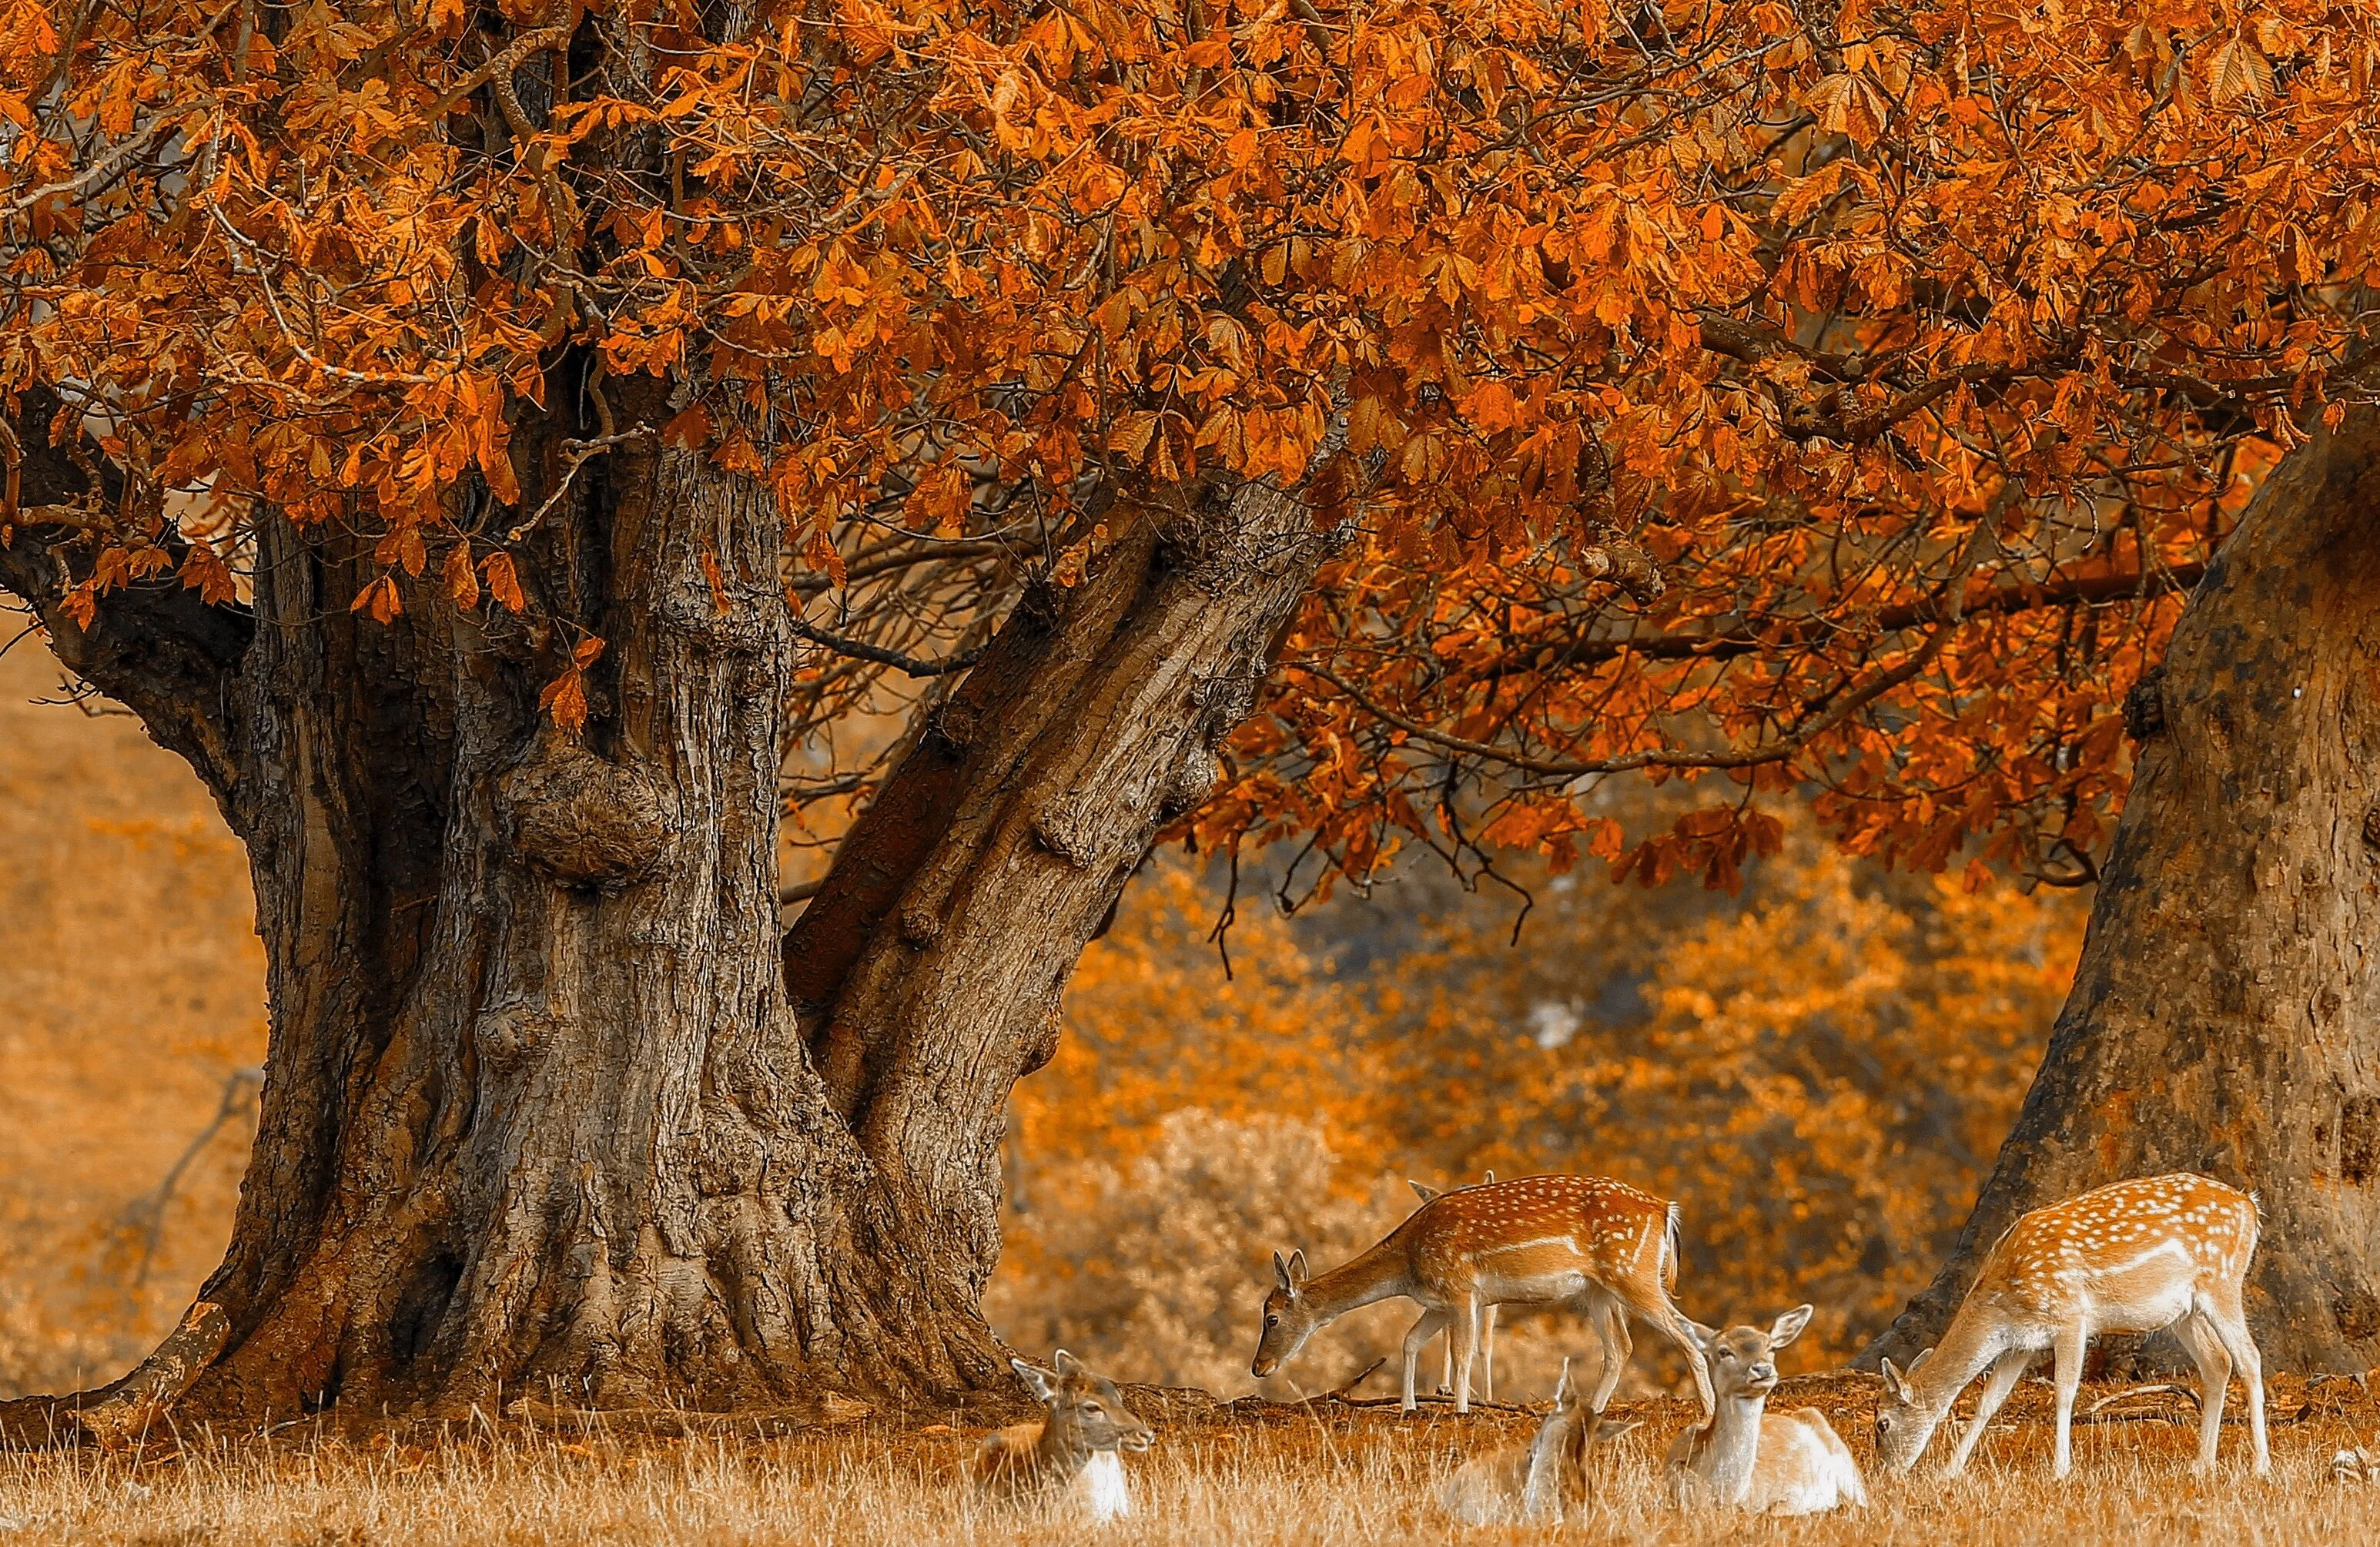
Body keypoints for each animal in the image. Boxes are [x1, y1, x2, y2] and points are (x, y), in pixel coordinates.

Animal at [1253, 1172, 1713, 1418]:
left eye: (1272, 1317)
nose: (1258, 1367)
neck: (1409, 1263)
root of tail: (1665, 1211)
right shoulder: (1439, 1302)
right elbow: (1410, 1341)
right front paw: (1409, 1407)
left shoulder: (1461, 1289)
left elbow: (1462, 1354)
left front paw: (1461, 1410)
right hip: (1598, 1290)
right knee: (1621, 1346)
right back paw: (1594, 1411)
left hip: (1632, 1274)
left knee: (1687, 1335)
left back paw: (1709, 1411)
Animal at [1663, 1305, 1865, 1515]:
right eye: (1724, 1351)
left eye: (1770, 1347)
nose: (1763, 1369)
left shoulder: (1794, 1493)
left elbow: (1776, 1510)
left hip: (1849, 1472)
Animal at [1874, 1173, 2268, 1480]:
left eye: (1882, 1423)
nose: (1888, 1474)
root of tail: (2250, 1206)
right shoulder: (2020, 1342)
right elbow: (1989, 1401)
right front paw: (1949, 1472)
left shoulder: (2071, 1316)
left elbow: (2064, 1391)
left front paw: (2061, 1470)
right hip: (2184, 1311)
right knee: (2218, 1362)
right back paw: (2202, 1464)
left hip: (2221, 1279)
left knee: (2249, 1357)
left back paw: (2260, 1466)